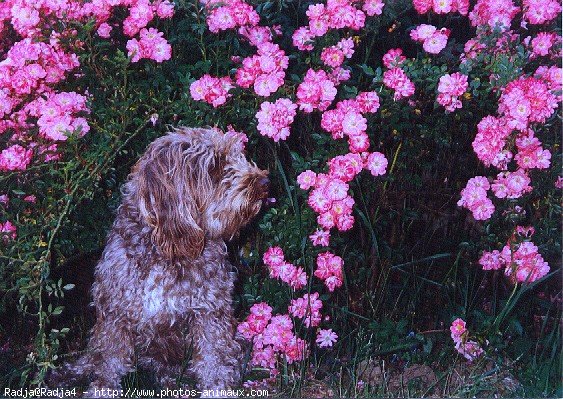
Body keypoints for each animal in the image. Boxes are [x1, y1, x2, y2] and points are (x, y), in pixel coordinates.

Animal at [50, 127, 268, 396]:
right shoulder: (115, 315)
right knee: (94, 356)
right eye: (215, 164)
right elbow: (109, 364)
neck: (167, 251)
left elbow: (213, 360)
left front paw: (217, 389)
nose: (265, 183)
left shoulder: (210, 313)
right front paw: (102, 389)